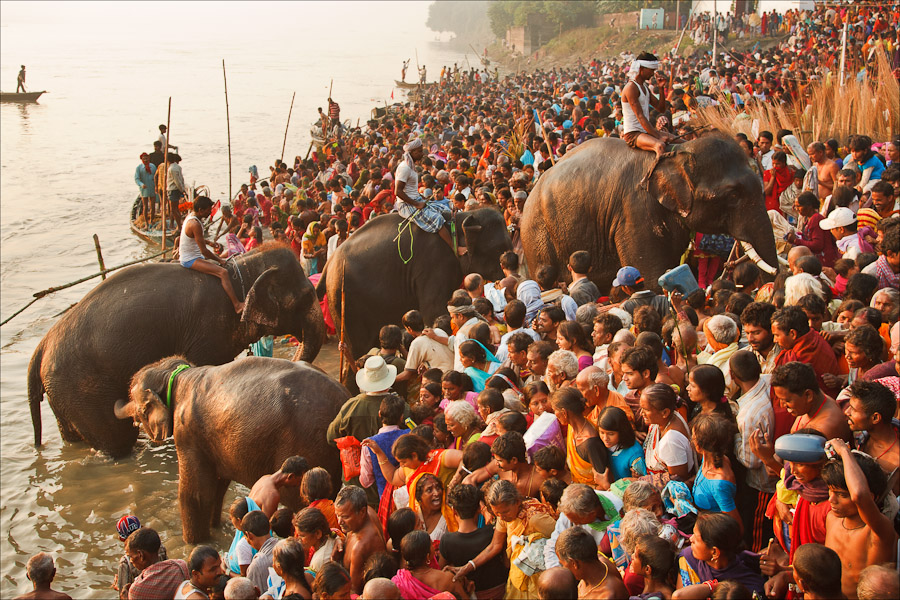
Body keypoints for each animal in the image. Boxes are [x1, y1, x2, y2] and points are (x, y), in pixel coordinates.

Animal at [28, 246, 326, 458]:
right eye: (304, 298)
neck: (241, 269)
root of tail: (40, 348)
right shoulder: (206, 332)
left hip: (63, 393)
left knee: (73, 437)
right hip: (81, 389)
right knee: (116, 440)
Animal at [116, 356, 348, 544]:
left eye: (135, 400)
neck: (177, 375)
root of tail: (344, 397)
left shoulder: (187, 432)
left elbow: (195, 495)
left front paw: (194, 544)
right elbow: (218, 487)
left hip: (307, 442)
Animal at [320, 209, 510, 380]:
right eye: (498, 249)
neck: (457, 219)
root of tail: (329, 263)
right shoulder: (434, 265)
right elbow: (433, 312)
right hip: (345, 302)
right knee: (357, 350)